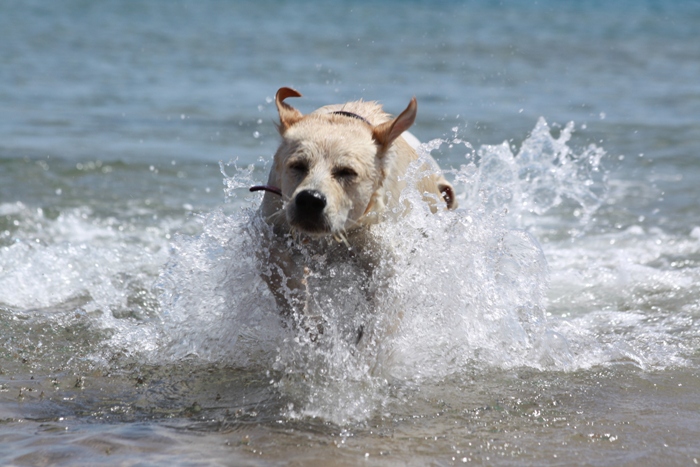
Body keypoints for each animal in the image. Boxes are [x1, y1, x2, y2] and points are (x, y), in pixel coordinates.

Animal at [254, 88, 456, 344]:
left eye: (346, 172)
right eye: (298, 165)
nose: (310, 199)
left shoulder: (383, 258)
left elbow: (382, 313)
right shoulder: (272, 228)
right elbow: (282, 273)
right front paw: (308, 320)